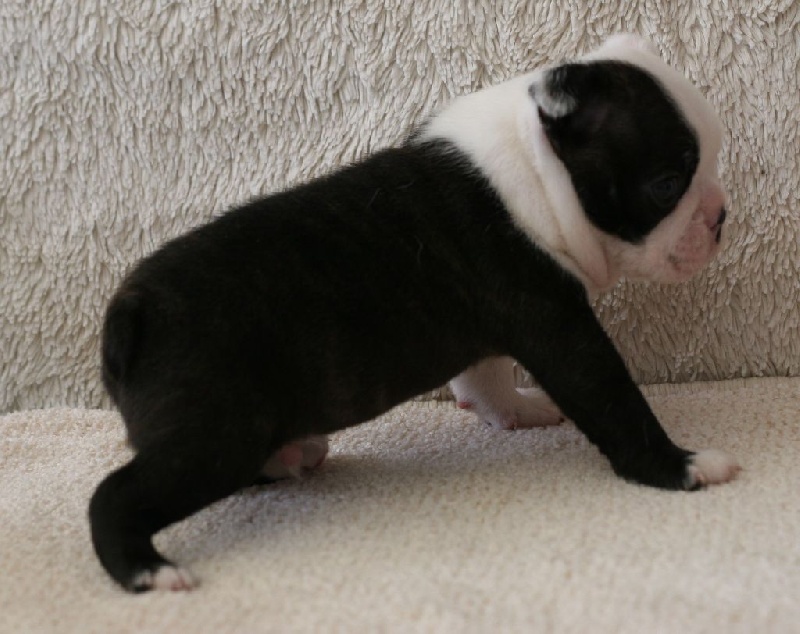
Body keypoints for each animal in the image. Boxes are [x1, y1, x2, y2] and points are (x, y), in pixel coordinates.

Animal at [89, 34, 740, 592]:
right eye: (667, 184)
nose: (720, 215)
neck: (536, 167)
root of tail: (129, 312)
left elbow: (485, 376)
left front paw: (516, 411)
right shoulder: (557, 324)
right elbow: (614, 401)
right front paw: (680, 467)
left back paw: (289, 455)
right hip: (216, 430)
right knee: (116, 495)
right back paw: (146, 571)